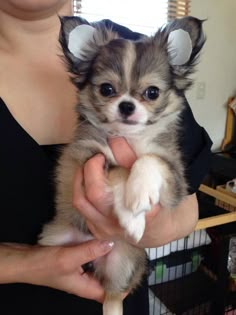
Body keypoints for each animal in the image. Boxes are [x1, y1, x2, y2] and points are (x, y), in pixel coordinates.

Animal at [38, 16, 205, 315]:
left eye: (152, 92)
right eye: (107, 89)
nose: (127, 105)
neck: (129, 137)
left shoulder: (174, 178)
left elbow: (147, 160)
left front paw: (137, 199)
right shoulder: (87, 157)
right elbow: (119, 171)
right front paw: (131, 214)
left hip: (122, 262)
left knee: (113, 295)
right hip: (52, 240)